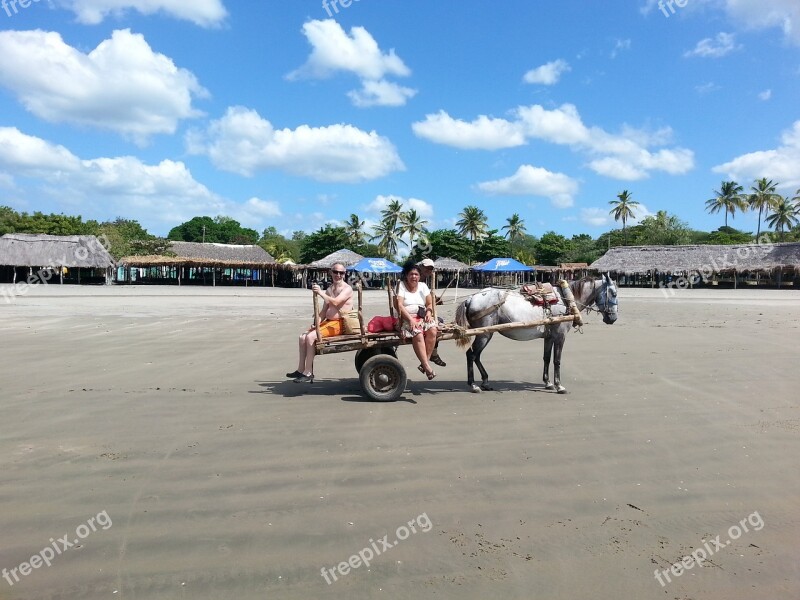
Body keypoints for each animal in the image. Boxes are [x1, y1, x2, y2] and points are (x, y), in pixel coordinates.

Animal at [456, 276, 620, 394]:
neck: (566, 300)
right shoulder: (560, 336)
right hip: (484, 334)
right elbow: (557, 360)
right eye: (613, 293)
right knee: (471, 355)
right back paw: (474, 385)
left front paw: (548, 383)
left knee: (475, 356)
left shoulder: (549, 337)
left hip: (485, 334)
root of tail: (471, 298)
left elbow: (546, 358)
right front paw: (559, 386)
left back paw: (484, 381)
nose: (613, 318)